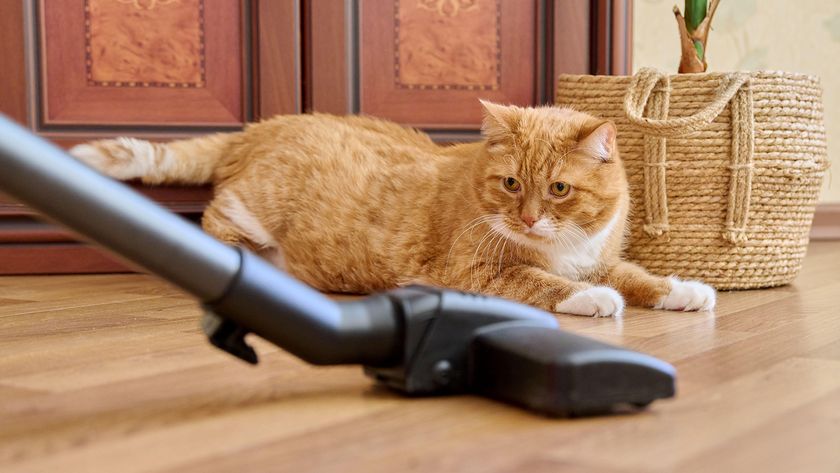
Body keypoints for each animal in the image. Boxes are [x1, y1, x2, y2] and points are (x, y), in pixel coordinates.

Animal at [72, 103, 716, 318]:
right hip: (251, 208)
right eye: (510, 184)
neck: (561, 246)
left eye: (558, 190)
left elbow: (636, 275)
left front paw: (681, 288)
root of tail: (262, 125)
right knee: (213, 222)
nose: (529, 219)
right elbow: (540, 282)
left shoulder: (599, 256)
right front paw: (588, 298)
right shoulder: (472, 273)